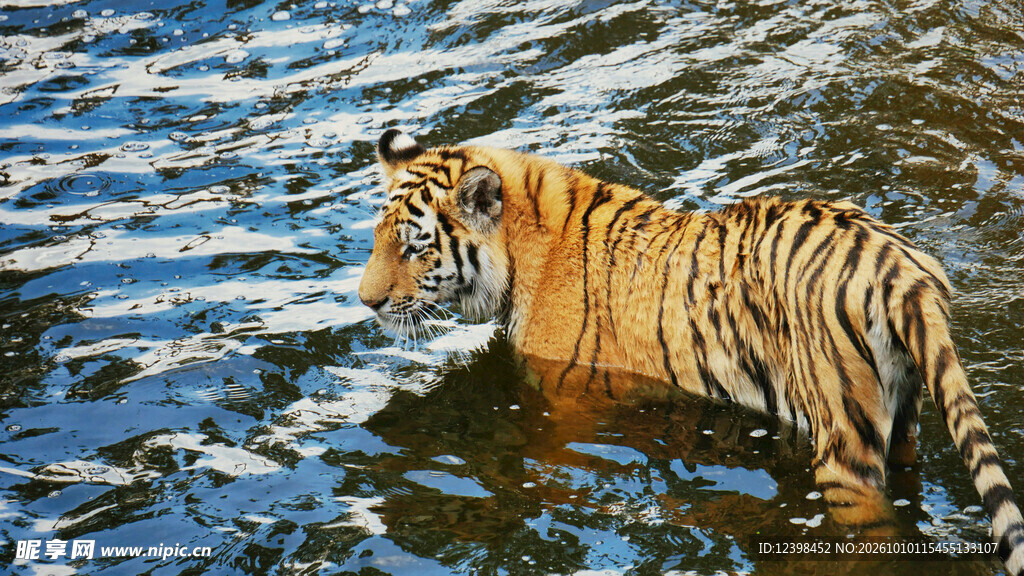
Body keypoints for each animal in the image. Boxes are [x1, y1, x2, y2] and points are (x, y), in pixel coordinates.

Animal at [358, 128, 1024, 574]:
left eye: (415, 247)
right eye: (378, 238)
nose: (365, 302)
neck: (523, 250)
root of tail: (898, 268)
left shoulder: (564, 399)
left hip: (843, 437)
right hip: (905, 415)